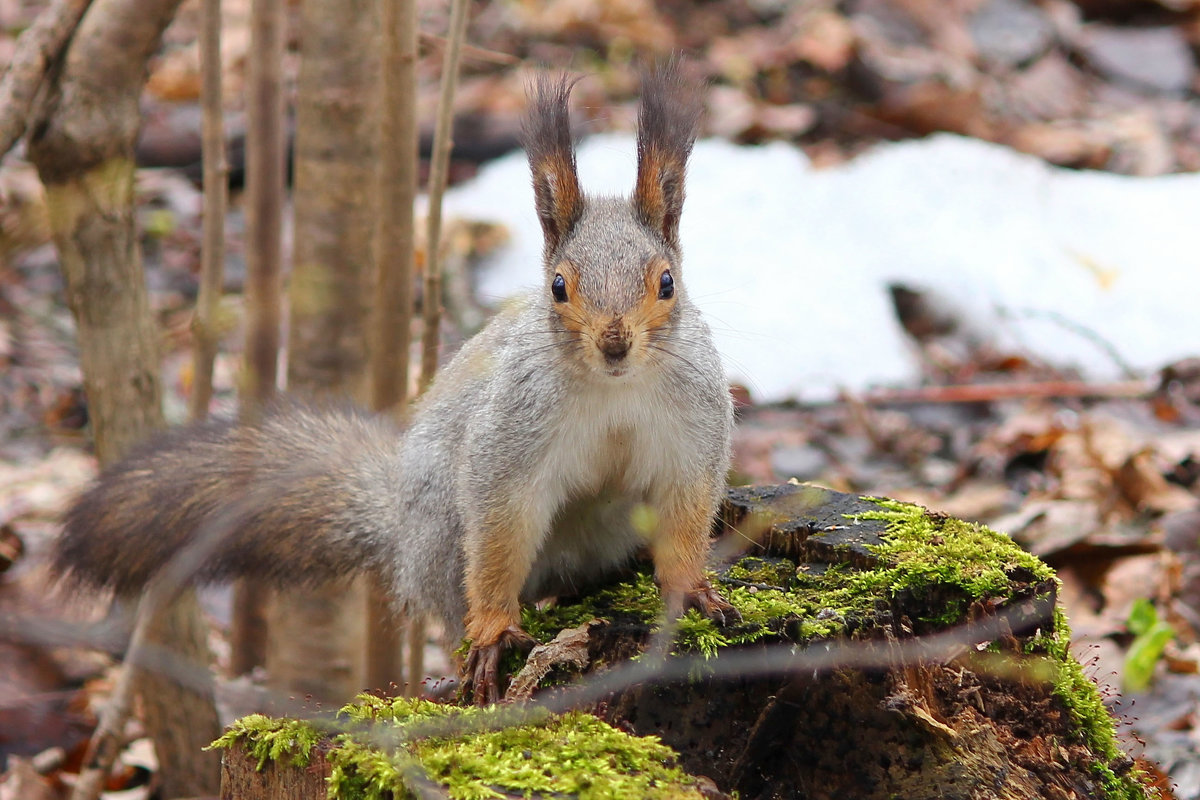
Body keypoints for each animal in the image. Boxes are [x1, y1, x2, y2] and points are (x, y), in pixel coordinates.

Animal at [56, 61, 739, 700]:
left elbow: (685, 516)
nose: (615, 343)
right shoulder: (511, 436)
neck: (614, 390)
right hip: (439, 533)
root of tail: (398, 528)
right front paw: (495, 631)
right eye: (558, 287)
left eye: (667, 282)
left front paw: (690, 589)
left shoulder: (693, 432)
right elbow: (500, 527)